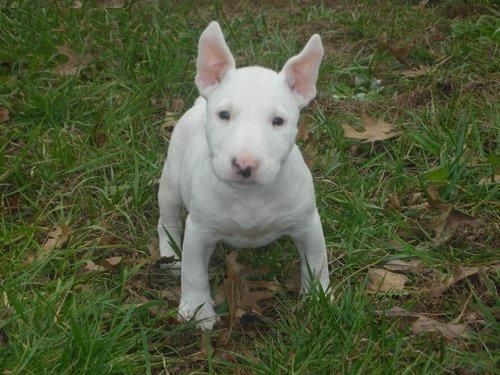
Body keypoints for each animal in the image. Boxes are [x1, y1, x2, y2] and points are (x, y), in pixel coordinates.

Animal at [158, 22, 330, 330]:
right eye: (224, 114)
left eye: (278, 121)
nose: (244, 165)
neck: (250, 196)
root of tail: (198, 103)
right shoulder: (199, 229)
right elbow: (193, 271)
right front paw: (196, 311)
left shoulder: (308, 223)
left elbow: (316, 261)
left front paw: (318, 300)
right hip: (170, 182)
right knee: (166, 221)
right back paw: (169, 253)